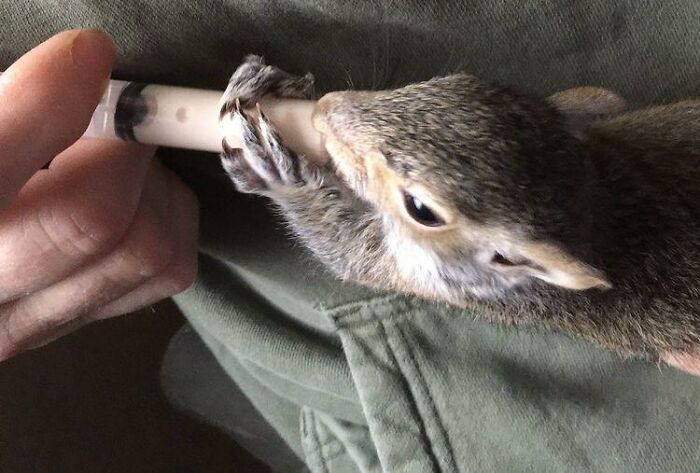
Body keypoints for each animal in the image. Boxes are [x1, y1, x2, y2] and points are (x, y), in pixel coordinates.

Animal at [219, 55, 700, 360]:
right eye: (452, 81)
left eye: (422, 210)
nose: (324, 109)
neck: (598, 209)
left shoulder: (430, 280)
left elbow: (348, 250)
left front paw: (280, 176)